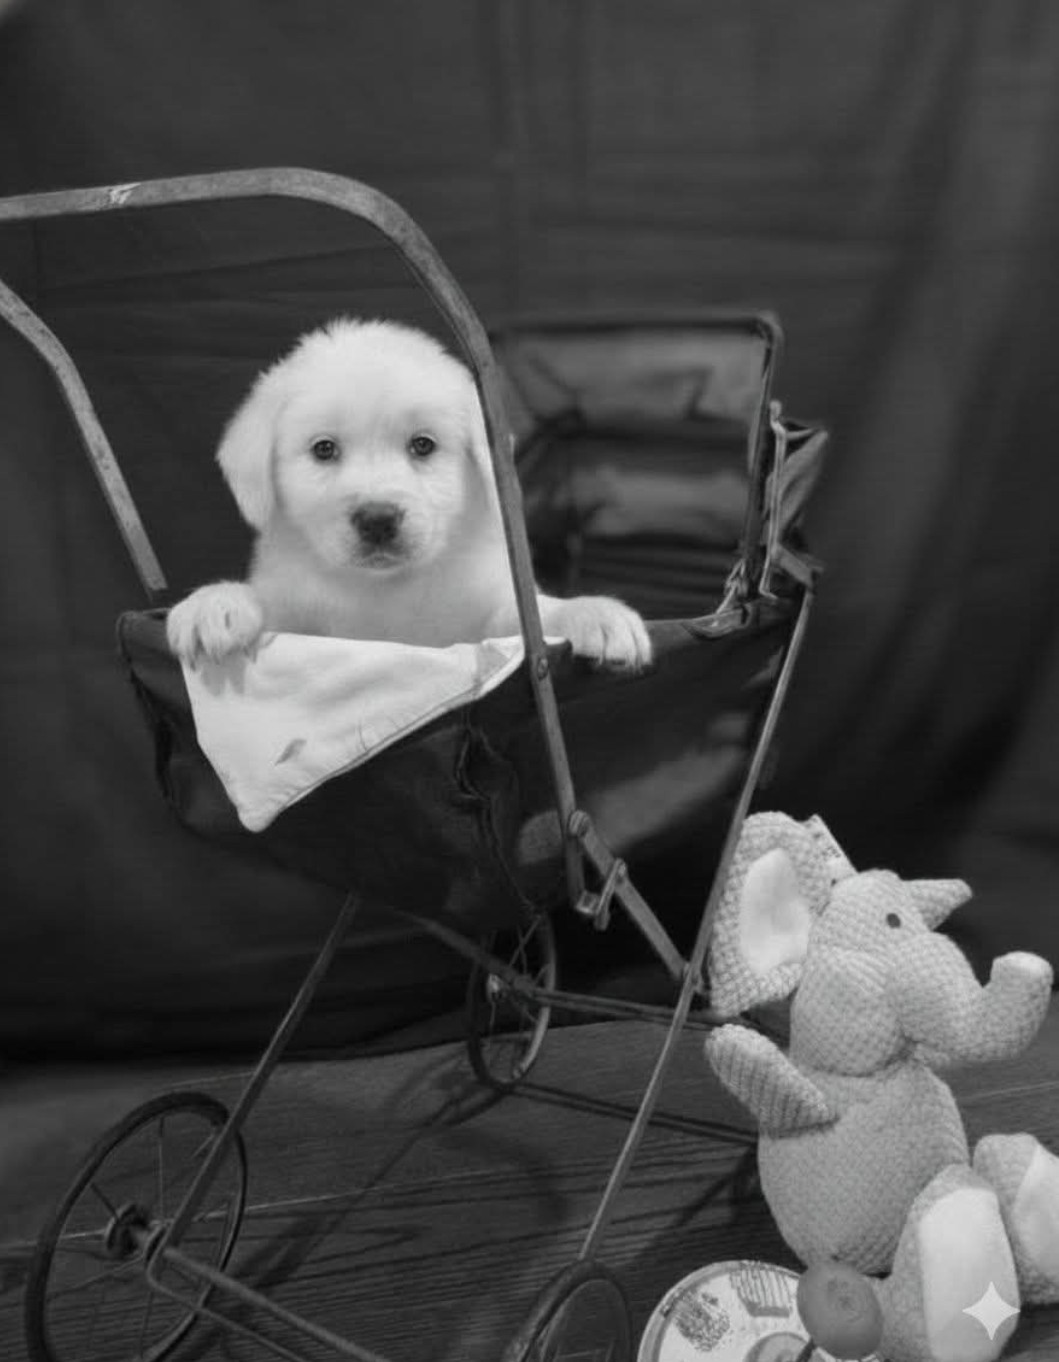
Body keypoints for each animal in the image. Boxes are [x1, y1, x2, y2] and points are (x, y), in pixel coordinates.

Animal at [166, 318, 652, 671]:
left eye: (423, 445)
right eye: (324, 449)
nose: (378, 520)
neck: (386, 591)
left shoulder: (482, 619)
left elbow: (529, 619)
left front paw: (593, 615)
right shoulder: (302, 615)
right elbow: (269, 605)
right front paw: (215, 605)